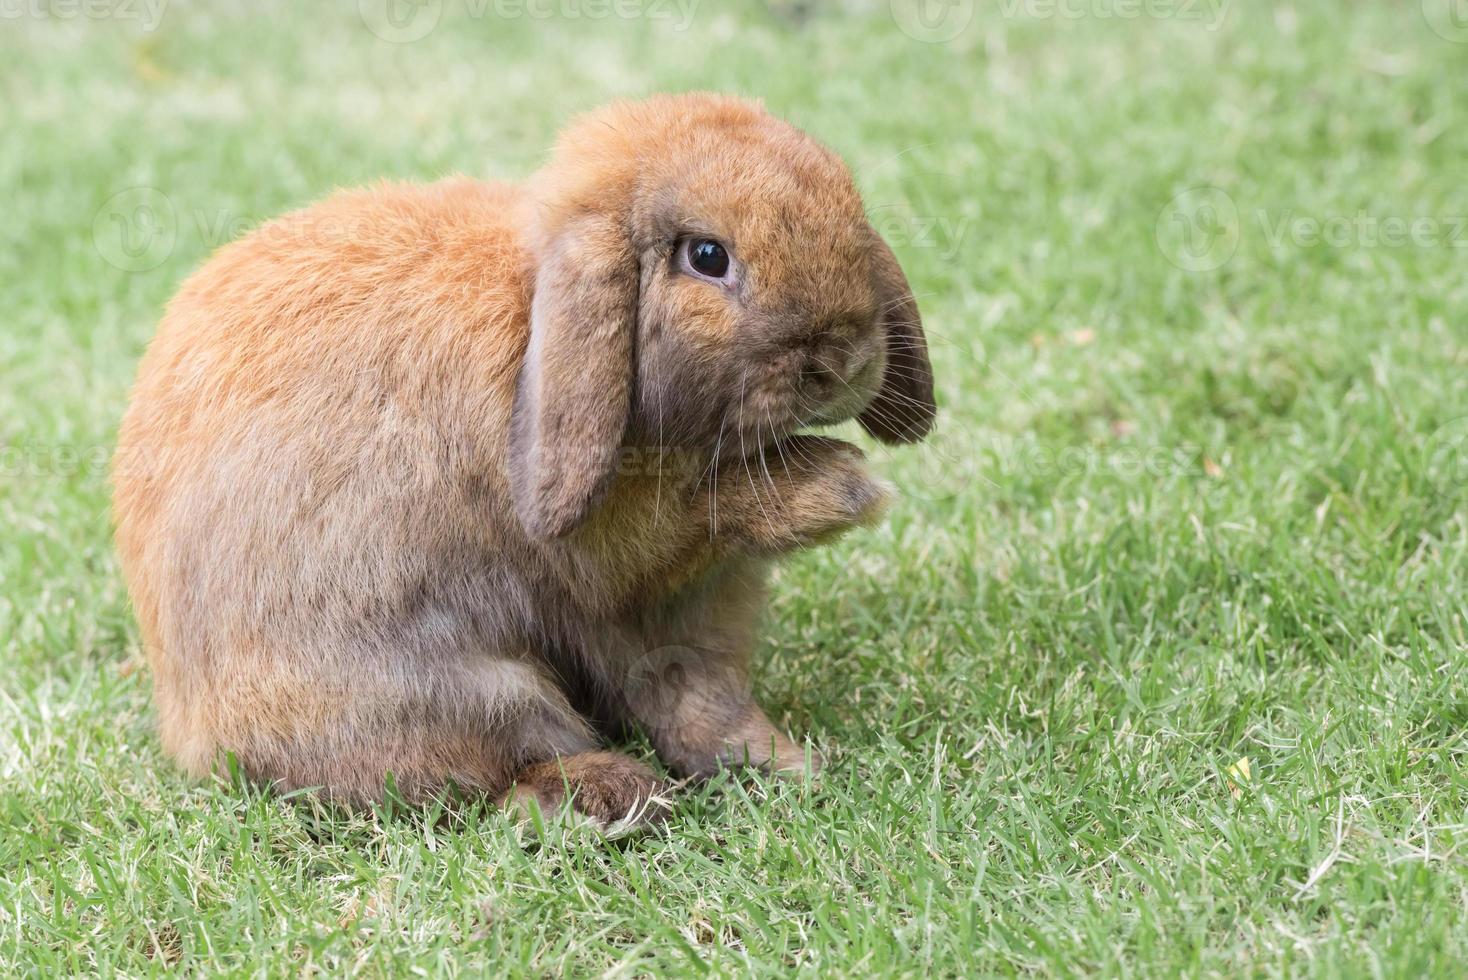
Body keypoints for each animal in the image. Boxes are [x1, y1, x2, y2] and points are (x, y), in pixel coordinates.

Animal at [117, 93, 939, 827]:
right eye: (707, 256)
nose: (844, 357)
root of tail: (189, 729)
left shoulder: (694, 623)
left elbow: (702, 703)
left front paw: (790, 765)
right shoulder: (606, 551)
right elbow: (671, 528)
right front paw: (843, 487)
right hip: (453, 690)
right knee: (492, 772)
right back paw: (609, 798)